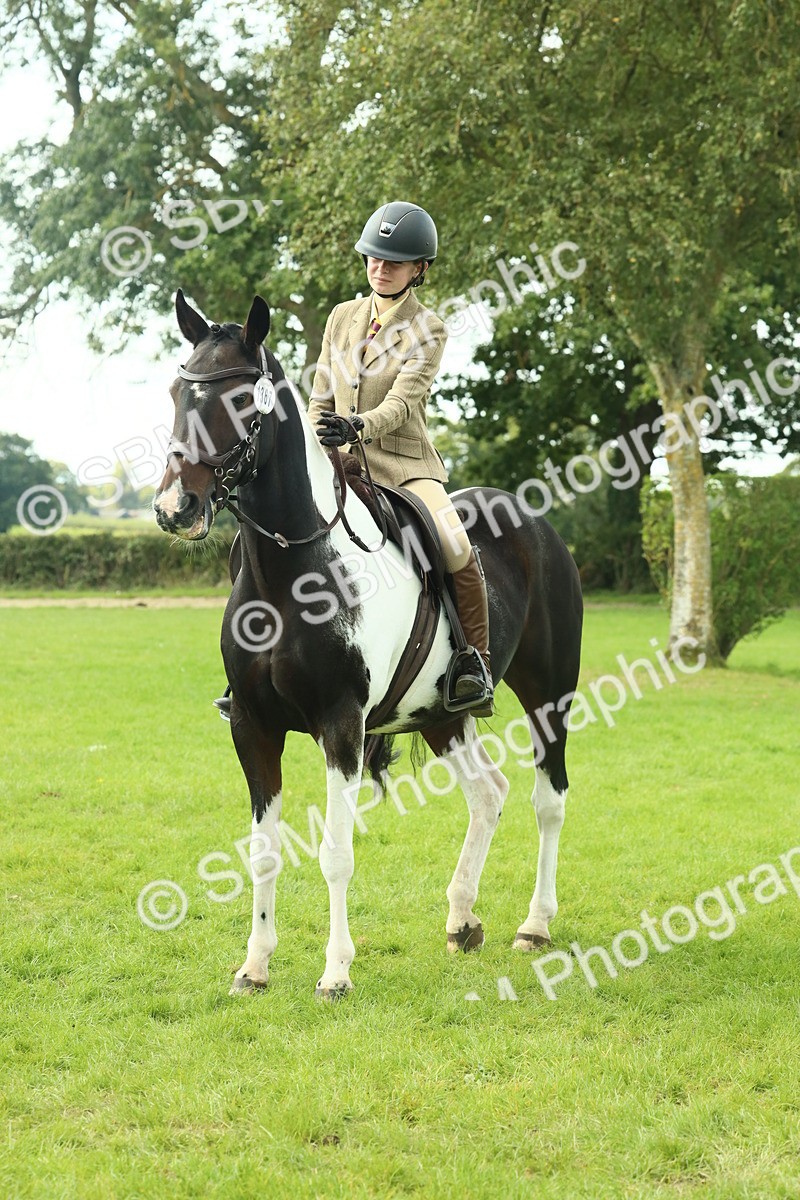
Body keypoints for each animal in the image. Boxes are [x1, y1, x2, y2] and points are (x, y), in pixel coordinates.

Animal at [153, 290, 583, 999]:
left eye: (241, 400)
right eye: (175, 393)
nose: (175, 508)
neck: (291, 574)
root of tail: (533, 519)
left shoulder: (341, 725)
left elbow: (335, 853)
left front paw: (335, 972)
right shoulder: (252, 725)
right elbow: (263, 850)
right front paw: (254, 966)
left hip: (550, 693)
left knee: (548, 798)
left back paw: (536, 925)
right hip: (441, 714)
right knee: (487, 794)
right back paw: (462, 920)